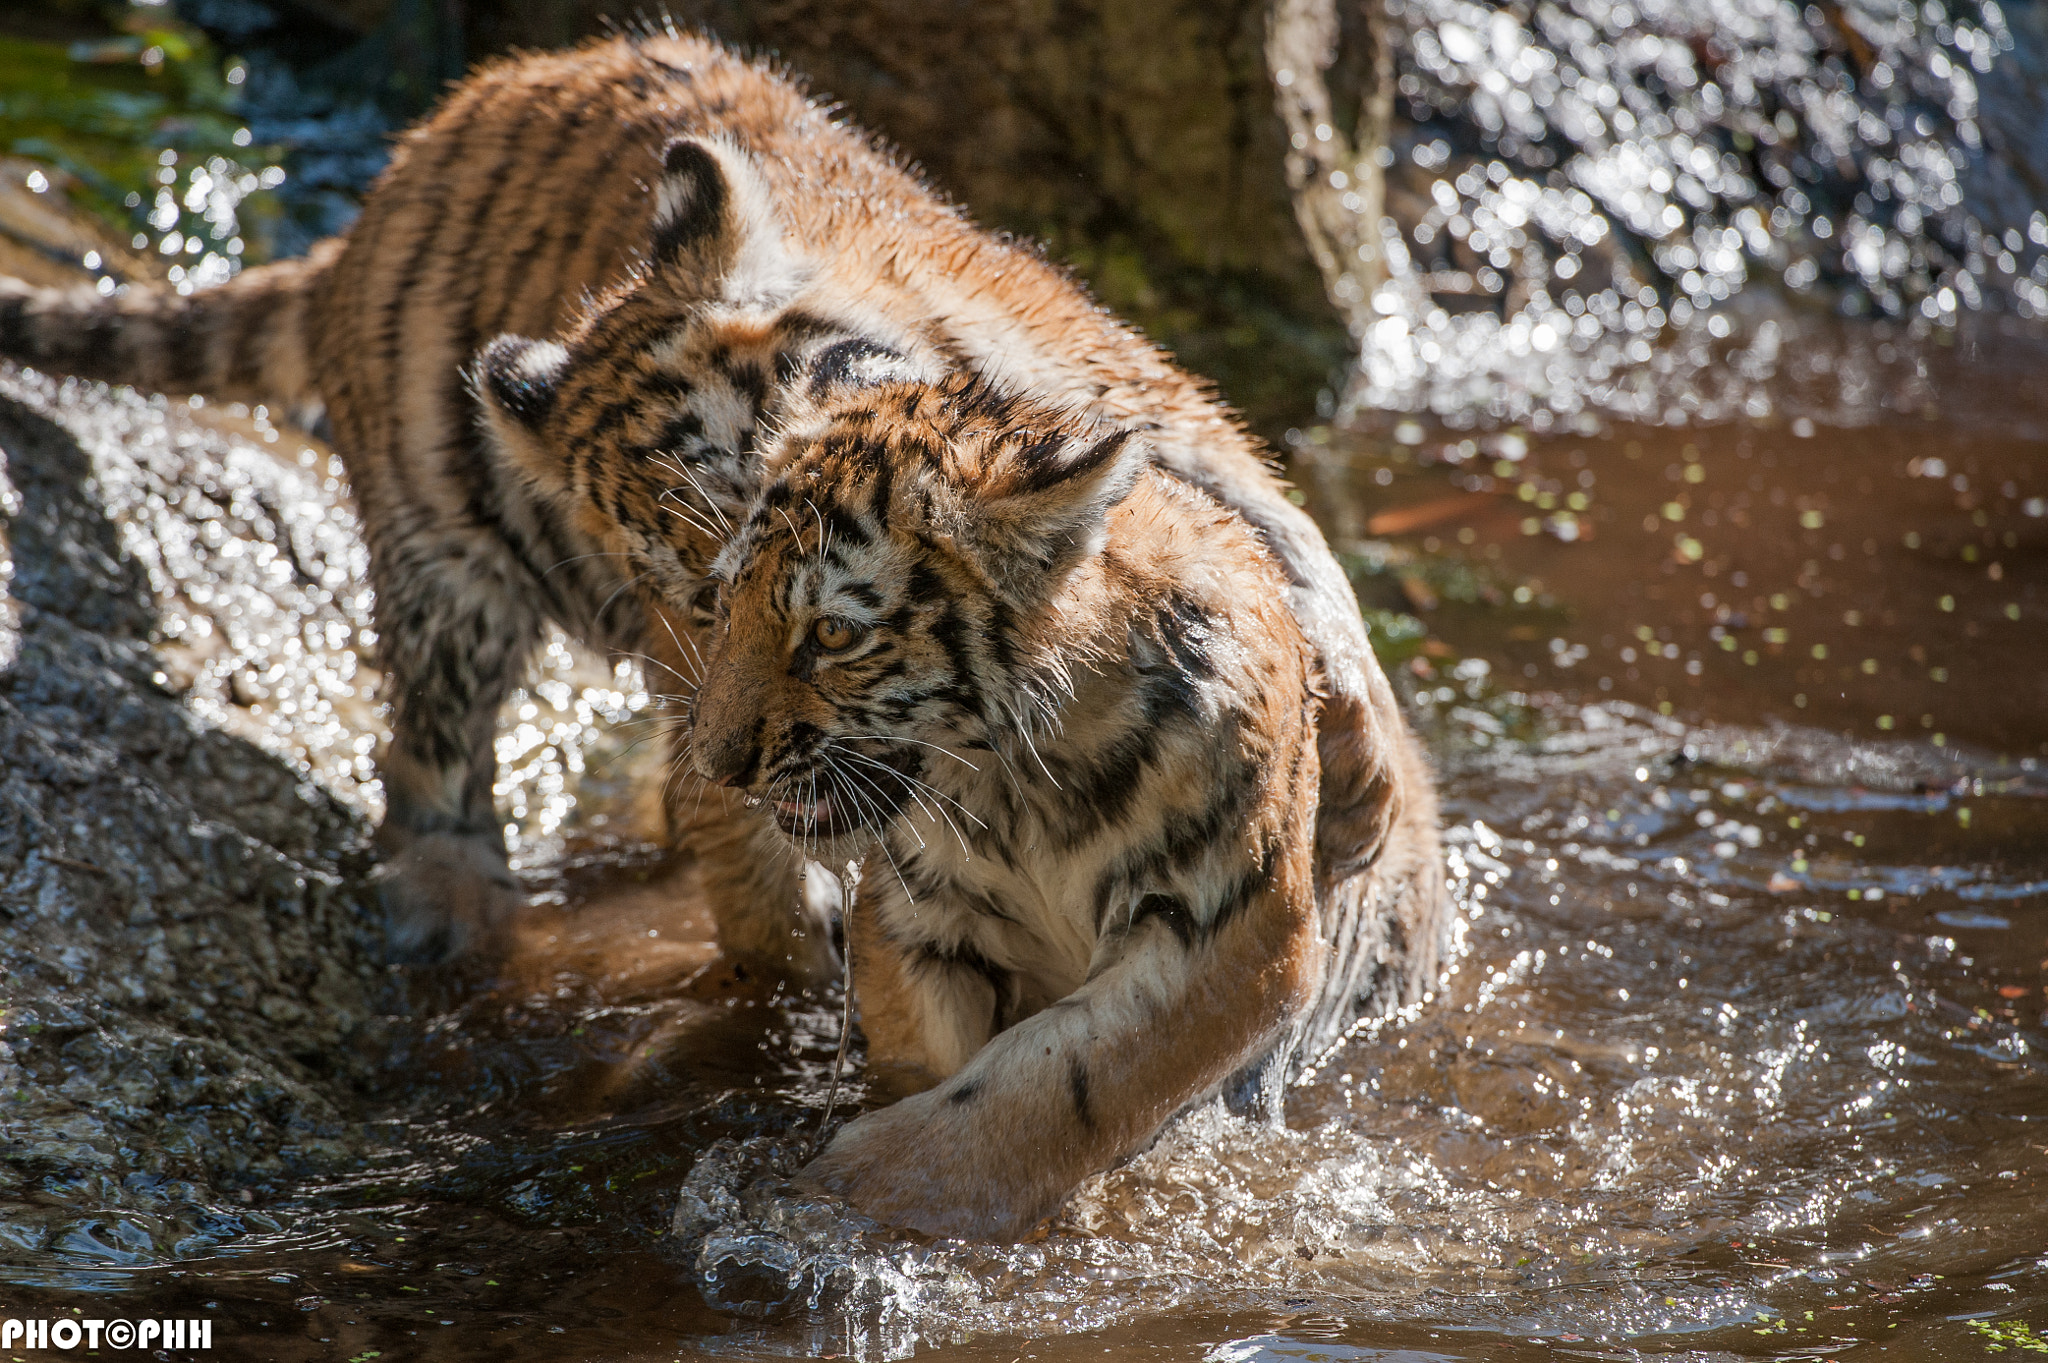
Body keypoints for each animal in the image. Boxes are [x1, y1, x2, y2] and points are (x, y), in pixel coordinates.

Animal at [0, 26, 1441, 1031]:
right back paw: (450, 905)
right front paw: (791, 980)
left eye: (770, 517)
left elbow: (1292, 545)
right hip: (439, 563)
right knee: (426, 753)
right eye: (693, 591)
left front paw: (1366, 781)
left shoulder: (1130, 400)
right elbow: (750, 862)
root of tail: (374, 210)